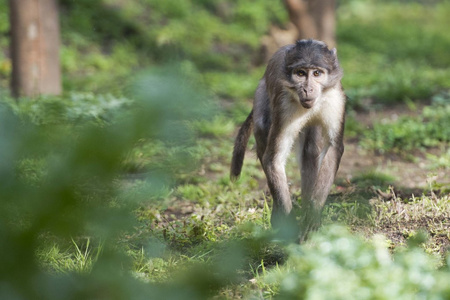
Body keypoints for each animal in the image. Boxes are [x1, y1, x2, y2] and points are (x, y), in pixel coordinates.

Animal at [232, 39, 344, 241]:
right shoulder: (284, 105)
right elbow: (273, 159)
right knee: (263, 128)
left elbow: (334, 148)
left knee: (311, 150)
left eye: (317, 73)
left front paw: (312, 215)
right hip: (261, 94)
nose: (307, 89)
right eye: (300, 73)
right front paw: (288, 225)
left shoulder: (335, 97)